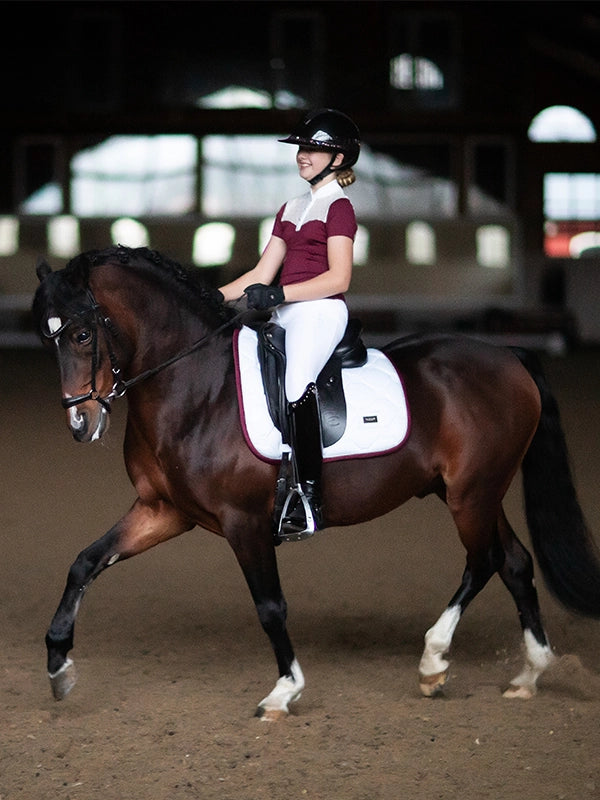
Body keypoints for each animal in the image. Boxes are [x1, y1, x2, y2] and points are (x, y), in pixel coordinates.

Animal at [31, 244, 600, 720]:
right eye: (47, 336)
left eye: (82, 335)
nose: (80, 424)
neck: (196, 387)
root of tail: (508, 356)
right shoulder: (162, 510)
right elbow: (85, 563)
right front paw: (59, 664)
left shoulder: (245, 523)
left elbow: (270, 606)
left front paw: (284, 692)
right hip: (474, 492)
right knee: (515, 563)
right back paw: (529, 674)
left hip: (471, 495)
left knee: (484, 560)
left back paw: (434, 661)